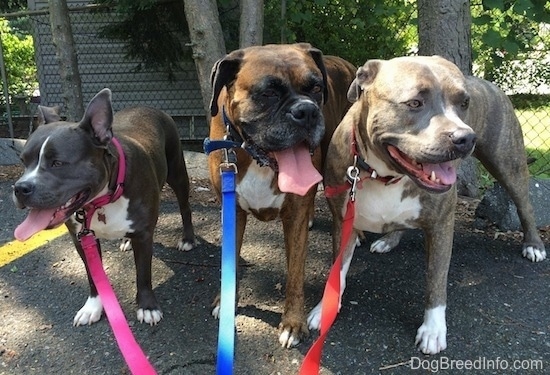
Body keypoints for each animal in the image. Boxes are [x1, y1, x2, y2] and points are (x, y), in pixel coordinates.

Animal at [207, 42, 358, 348]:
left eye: (316, 88)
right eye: (268, 93)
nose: (307, 111)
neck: (257, 159)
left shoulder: (295, 217)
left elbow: (295, 274)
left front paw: (293, 324)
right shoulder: (232, 213)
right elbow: (231, 262)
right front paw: (226, 302)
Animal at [310, 55, 548, 356]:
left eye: (464, 103)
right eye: (415, 103)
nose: (465, 137)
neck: (385, 174)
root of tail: (487, 83)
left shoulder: (441, 225)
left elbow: (436, 280)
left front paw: (433, 329)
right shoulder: (343, 221)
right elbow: (337, 269)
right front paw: (325, 309)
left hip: (508, 164)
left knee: (524, 206)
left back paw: (534, 246)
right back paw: (389, 240)